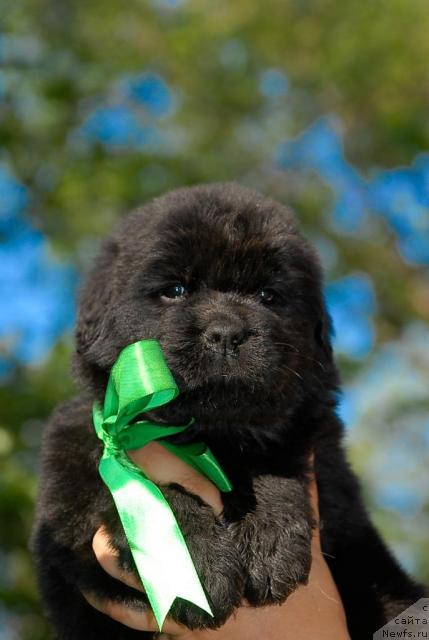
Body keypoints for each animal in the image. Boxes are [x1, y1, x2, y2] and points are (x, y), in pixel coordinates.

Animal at [30, 181, 424, 640]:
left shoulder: (317, 454)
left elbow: (278, 463)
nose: (226, 333)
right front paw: (198, 563)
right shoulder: (74, 496)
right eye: (176, 290)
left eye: (268, 296)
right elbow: (137, 495)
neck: (208, 433)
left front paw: (268, 540)